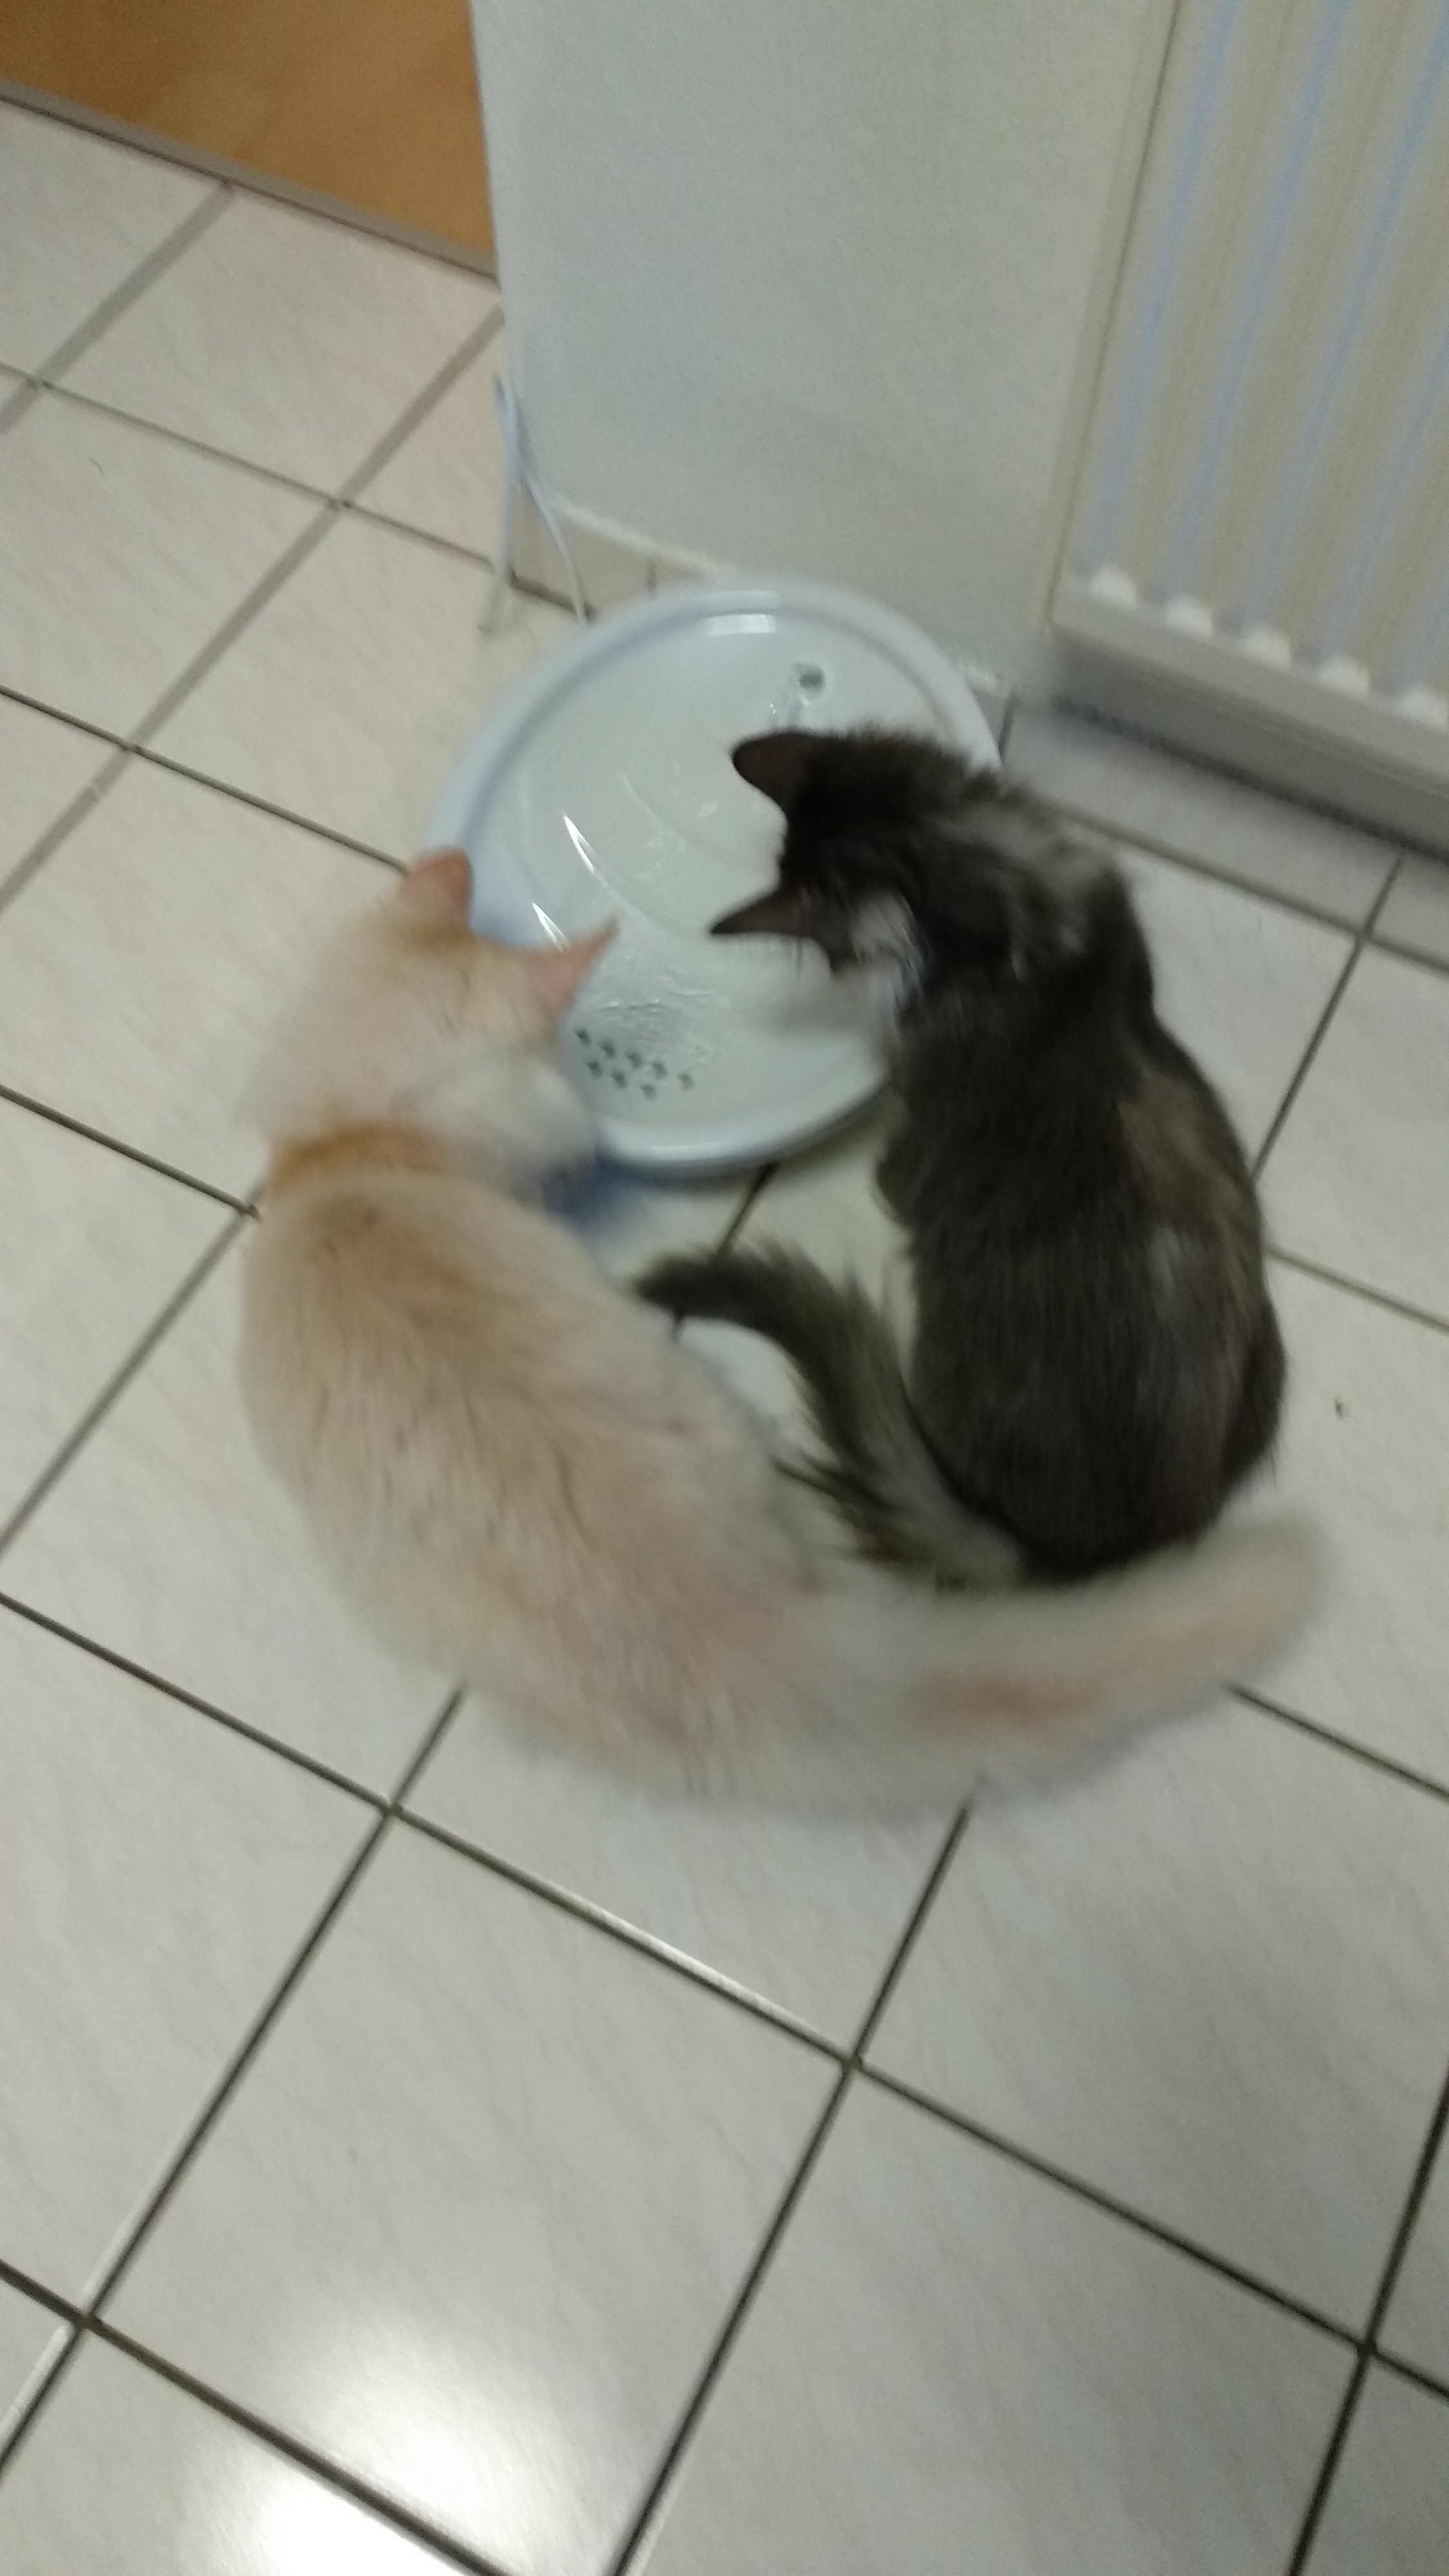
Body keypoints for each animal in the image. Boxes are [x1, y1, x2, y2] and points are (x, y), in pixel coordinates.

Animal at [640, 727, 1285, 1583]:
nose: (838, 971)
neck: (1002, 915)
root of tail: (1069, 1558)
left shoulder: (916, 1134)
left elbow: (895, 1162)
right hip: (1268, 1357)